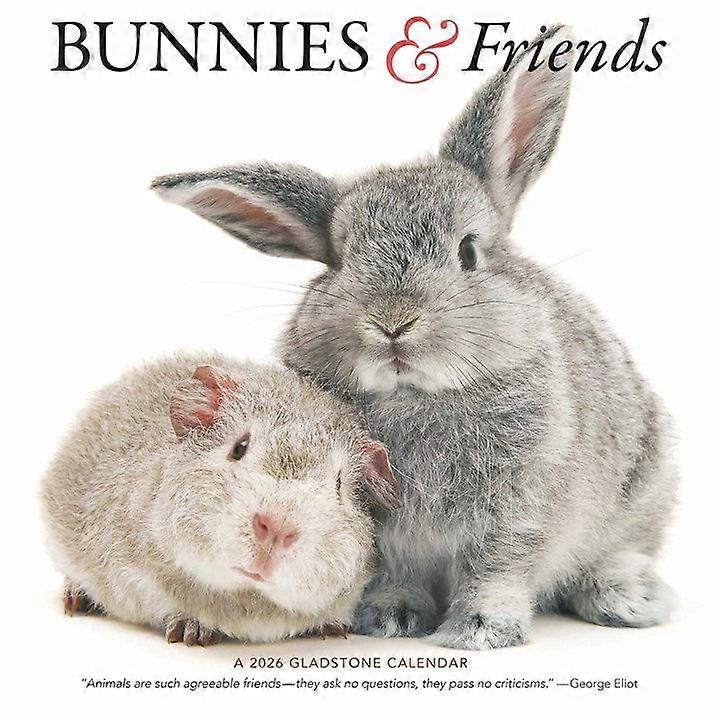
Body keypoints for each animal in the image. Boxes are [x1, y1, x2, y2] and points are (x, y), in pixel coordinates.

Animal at [151, 25, 678, 650]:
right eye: (340, 262)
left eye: (468, 251)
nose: (393, 322)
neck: (416, 397)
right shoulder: (381, 525)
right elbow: (392, 572)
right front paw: (389, 618)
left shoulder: (519, 507)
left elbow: (496, 569)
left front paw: (480, 630)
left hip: (644, 483)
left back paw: (627, 597)